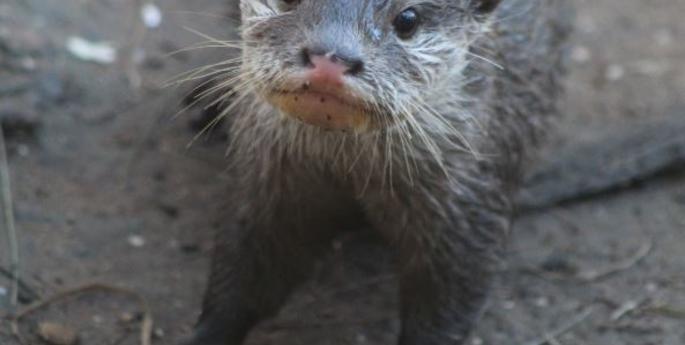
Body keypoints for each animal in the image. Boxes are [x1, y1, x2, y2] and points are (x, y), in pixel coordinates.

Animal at [179, 0, 568, 344]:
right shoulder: (263, 184)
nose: (331, 58)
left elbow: (449, 299)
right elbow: (242, 273)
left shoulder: (469, 206)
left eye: (408, 19)